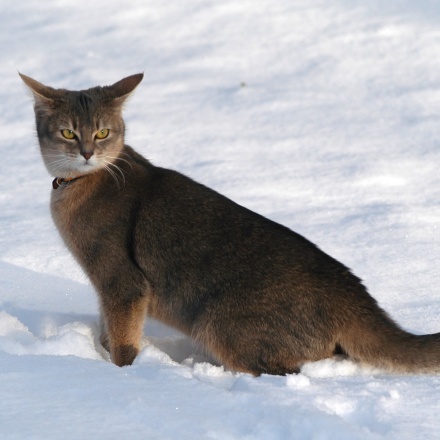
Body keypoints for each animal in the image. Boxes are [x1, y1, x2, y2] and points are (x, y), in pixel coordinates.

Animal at [20, 72, 440, 374]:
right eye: (68, 132)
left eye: (103, 132)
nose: (87, 153)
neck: (77, 186)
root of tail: (354, 294)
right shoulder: (107, 288)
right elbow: (109, 329)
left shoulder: (123, 283)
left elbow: (124, 341)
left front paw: (123, 374)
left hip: (219, 324)